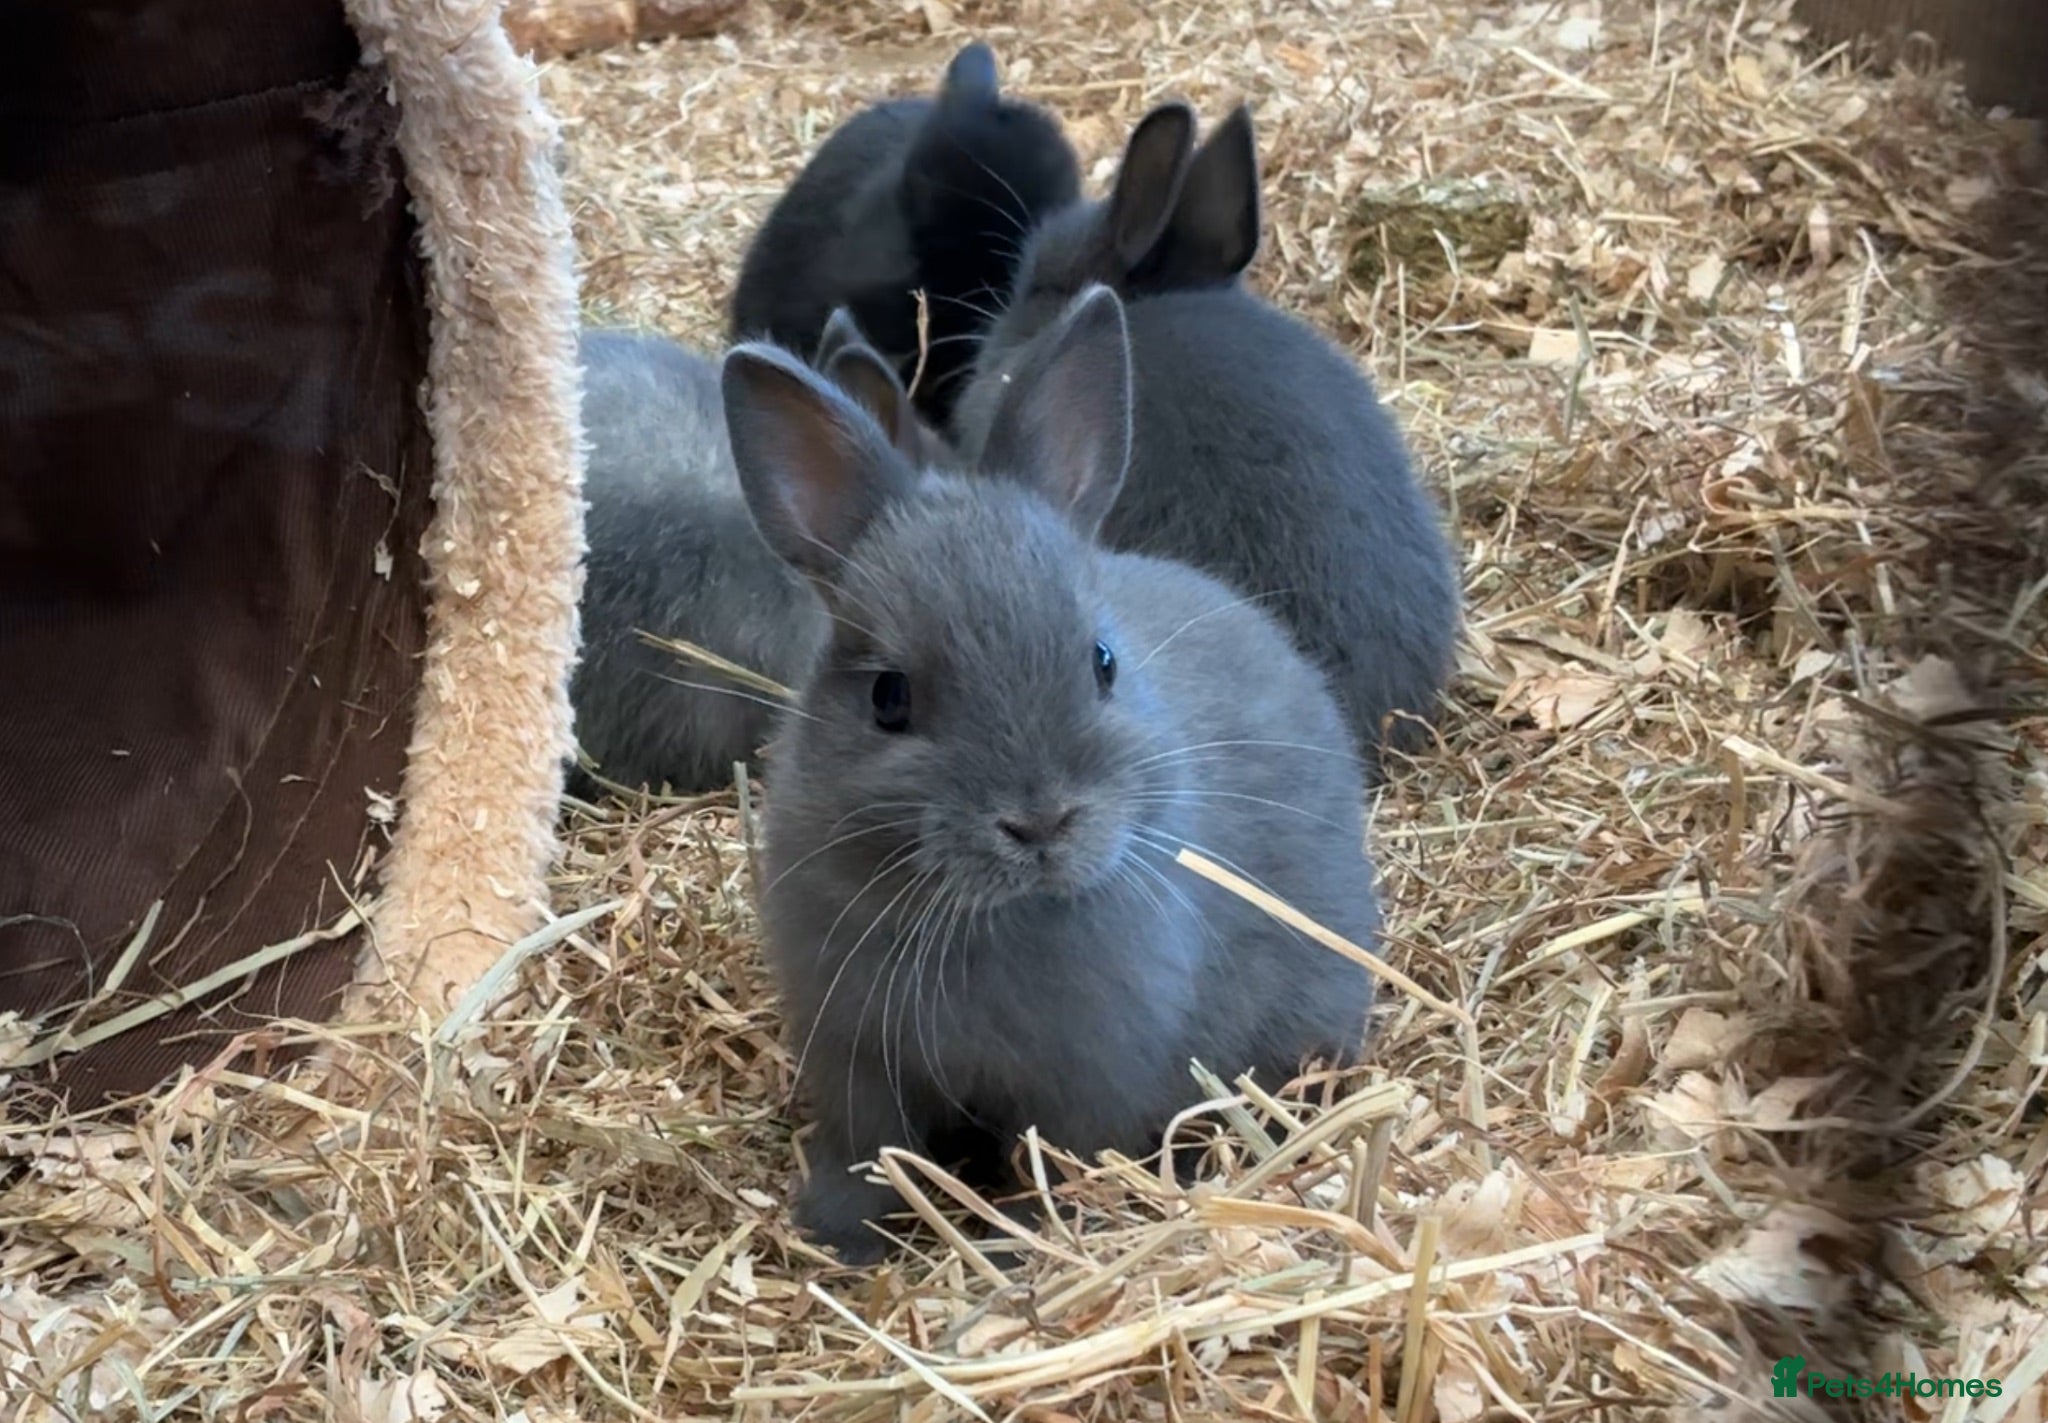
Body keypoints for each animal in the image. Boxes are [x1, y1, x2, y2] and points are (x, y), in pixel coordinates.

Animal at [722, 283, 1381, 1264]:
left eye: (1102, 661)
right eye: (888, 697)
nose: (1039, 823)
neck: (994, 918)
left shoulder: (1086, 1082)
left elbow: (1053, 1164)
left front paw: (1019, 1244)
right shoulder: (854, 1055)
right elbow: (867, 1154)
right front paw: (837, 1236)